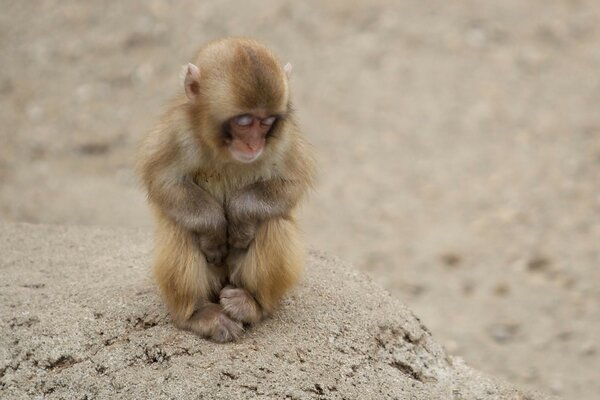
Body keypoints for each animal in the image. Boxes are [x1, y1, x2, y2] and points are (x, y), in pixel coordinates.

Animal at [136, 39, 314, 342]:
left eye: (266, 121)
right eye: (243, 121)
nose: (254, 145)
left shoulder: (284, 138)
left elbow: (291, 182)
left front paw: (240, 218)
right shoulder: (177, 131)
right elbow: (163, 180)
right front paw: (214, 230)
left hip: (235, 275)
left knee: (273, 222)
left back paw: (252, 305)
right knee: (179, 227)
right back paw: (197, 314)